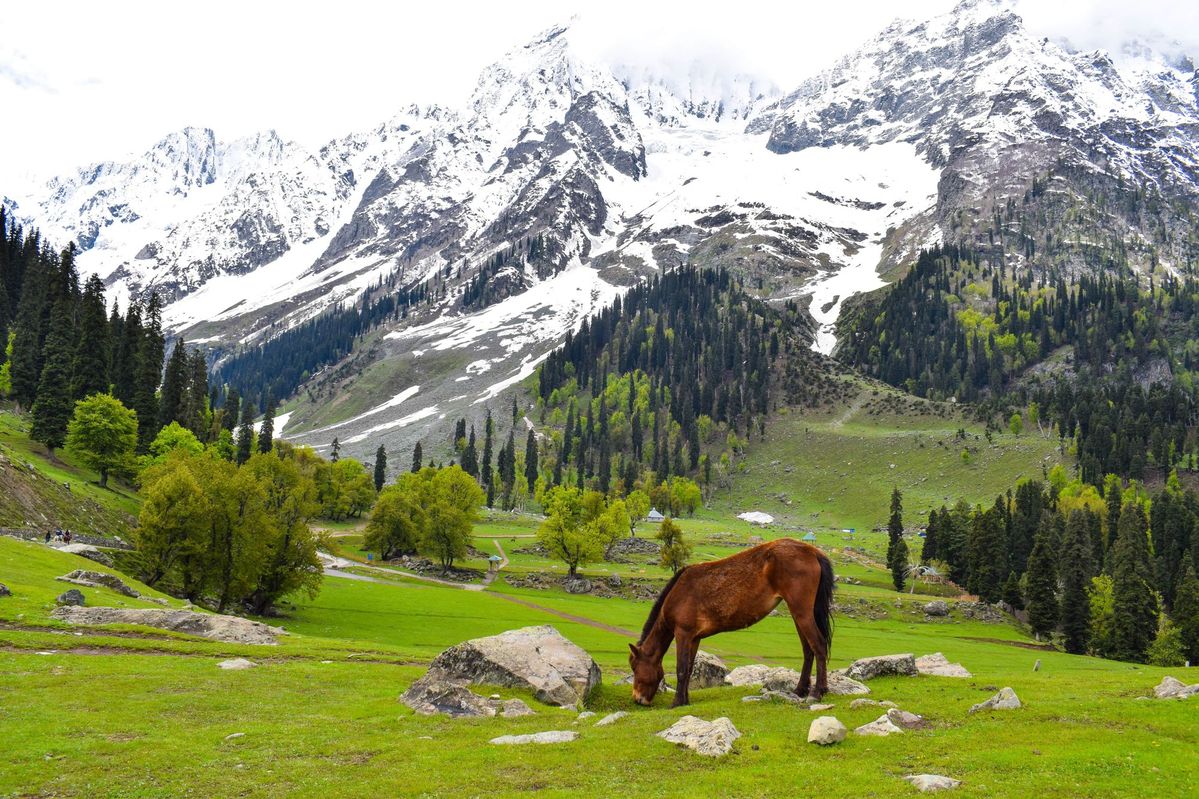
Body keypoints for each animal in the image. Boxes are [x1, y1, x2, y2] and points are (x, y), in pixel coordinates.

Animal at [628, 538, 834, 707]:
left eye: (635, 667)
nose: (638, 699)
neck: (678, 593)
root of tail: (813, 552)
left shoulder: (683, 634)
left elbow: (681, 668)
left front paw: (676, 702)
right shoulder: (694, 638)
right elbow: (689, 669)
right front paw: (685, 701)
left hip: (801, 612)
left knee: (818, 645)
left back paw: (817, 692)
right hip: (799, 614)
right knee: (808, 650)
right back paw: (800, 690)